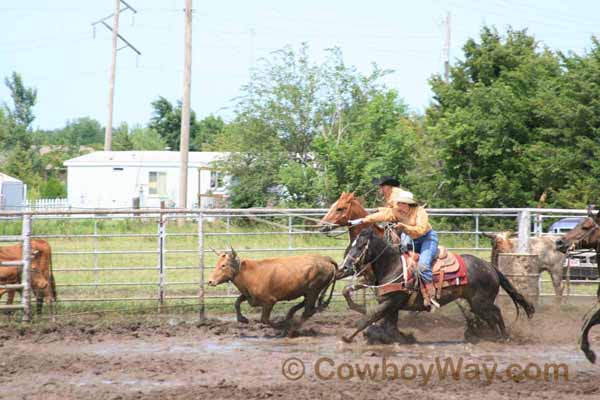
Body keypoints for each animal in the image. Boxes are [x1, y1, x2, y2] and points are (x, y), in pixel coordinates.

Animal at [207, 250, 338, 328]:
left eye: (223, 265)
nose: (210, 281)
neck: (248, 273)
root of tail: (325, 259)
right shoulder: (249, 295)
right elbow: (237, 302)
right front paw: (242, 319)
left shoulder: (269, 301)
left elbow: (264, 319)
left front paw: (278, 325)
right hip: (308, 291)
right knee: (306, 307)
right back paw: (289, 317)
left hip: (313, 289)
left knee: (307, 311)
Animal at [338, 228, 536, 344]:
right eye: (351, 244)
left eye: (361, 245)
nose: (345, 267)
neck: (392, 266)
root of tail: (490, 267)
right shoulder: (391, 306)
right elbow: (389, 326)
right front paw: (404, 338)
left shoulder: (390, 303)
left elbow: (369, 318)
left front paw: (347, 337)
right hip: (476, 303)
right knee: (489, 317)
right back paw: (488, 335)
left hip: (481, 302)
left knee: (496, 313)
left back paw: (503, 336)